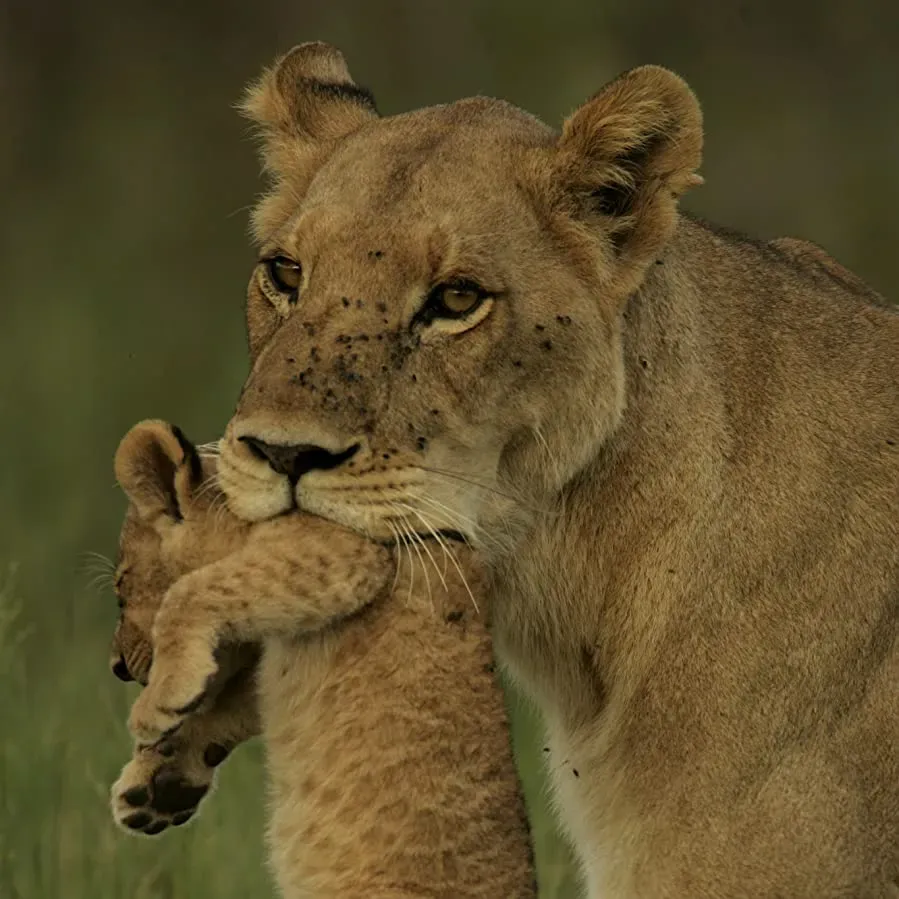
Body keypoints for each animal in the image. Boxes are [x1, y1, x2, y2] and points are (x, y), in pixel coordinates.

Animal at [109, 419, 537, 898]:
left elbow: (192, 591)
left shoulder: (345, 550)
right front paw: (159, 785)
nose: (117, 667)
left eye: (121, 587)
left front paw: (155, 707)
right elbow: (228, 702)